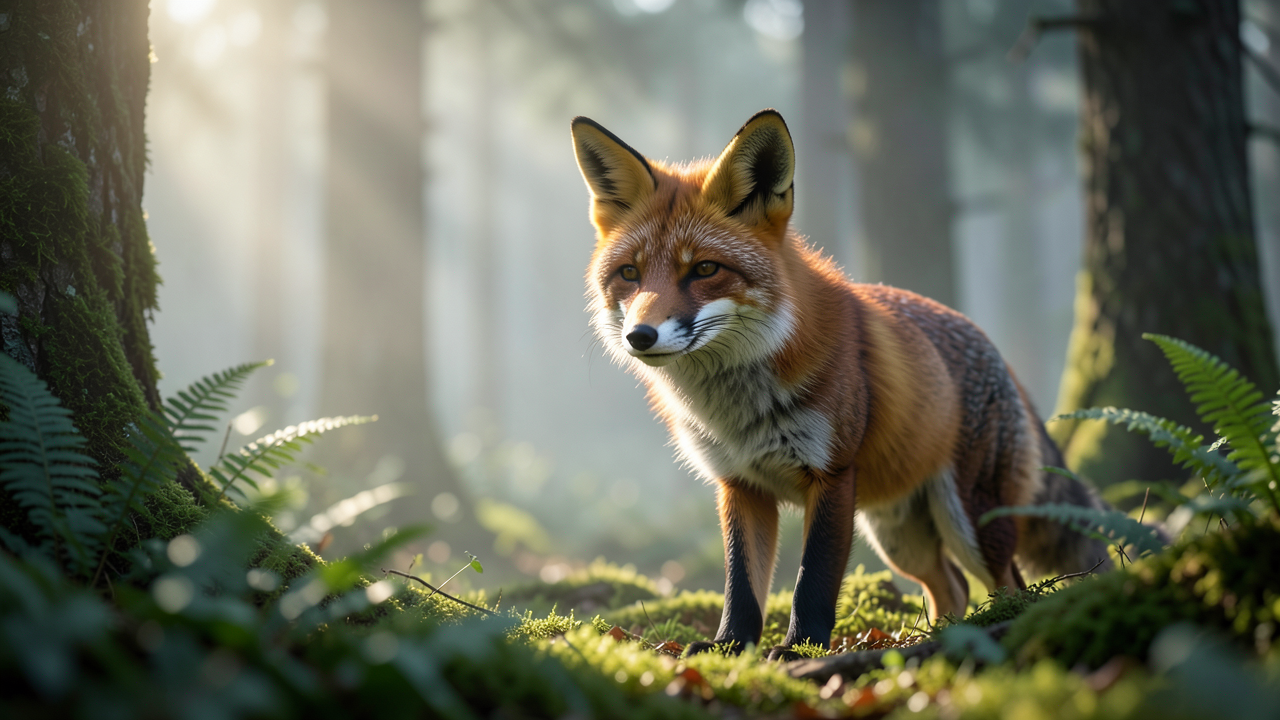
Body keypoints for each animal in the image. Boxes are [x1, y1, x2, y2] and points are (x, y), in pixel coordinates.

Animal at [570, 109, 1113, 660]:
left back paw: (990, 629)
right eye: (630, 274)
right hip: (899, 536)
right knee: (952, 585)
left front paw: (798, 650)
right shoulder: (740, 484)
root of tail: (992, 346)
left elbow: (813, 579)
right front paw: (729, 646)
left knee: (1012, 586)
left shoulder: (831, 474)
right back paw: (938, 636)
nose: (640, 335)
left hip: (970, 522)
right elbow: (740, 583)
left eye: (704, 269)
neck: (737, 408)